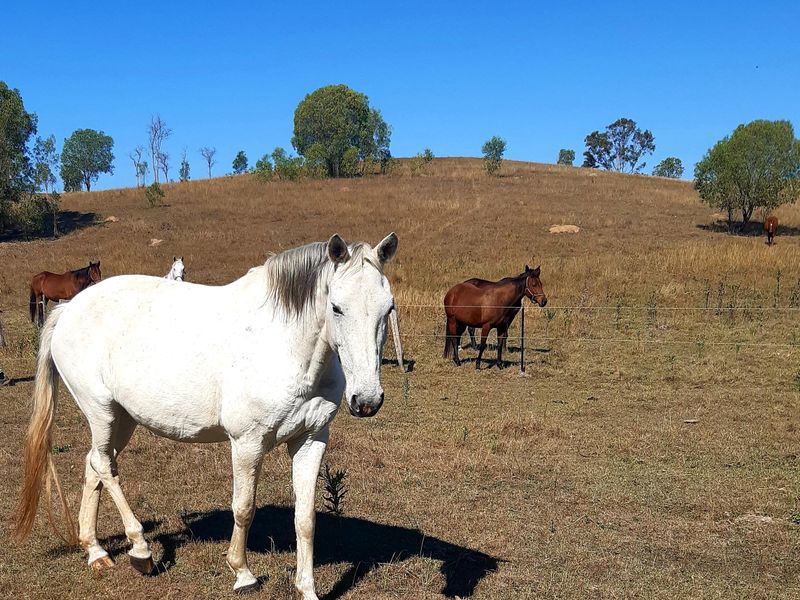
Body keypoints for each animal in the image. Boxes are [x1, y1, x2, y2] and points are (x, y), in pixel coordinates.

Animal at [15, 233, 398, 600]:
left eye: (388, 307)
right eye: (336, 307)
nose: (367, 400)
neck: (285, 345)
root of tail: (70, 310)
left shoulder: (310, 440)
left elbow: (305, 518)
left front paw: (307, 590)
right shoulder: (247, 444)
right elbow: (244, 508)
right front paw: (243, 574)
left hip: (122, 419)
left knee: (93, 463)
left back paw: (95, 551)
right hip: (102, 412)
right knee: (105, 468)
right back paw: (140, 550)